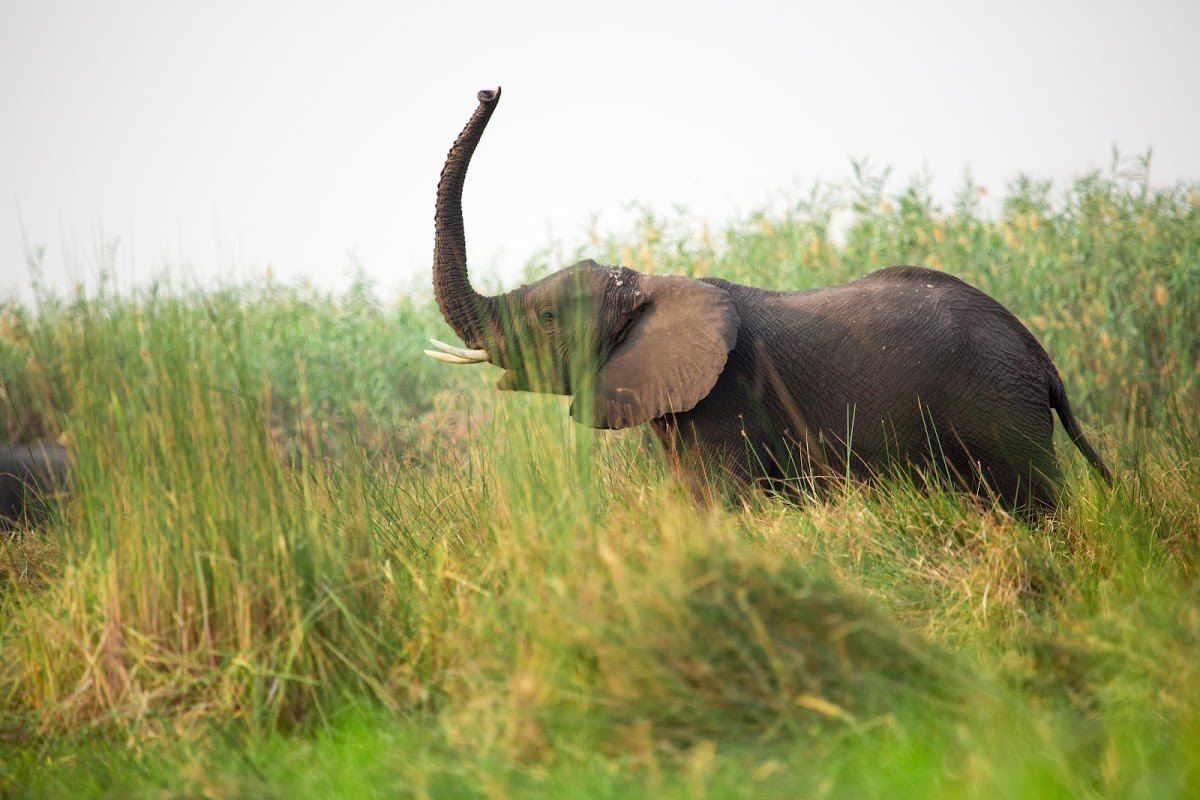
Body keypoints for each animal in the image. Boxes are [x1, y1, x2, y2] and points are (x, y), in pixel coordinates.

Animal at [424, 88, 1112, 515]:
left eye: (544, 319)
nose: (489, 90)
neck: (653, 284)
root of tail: (1042, 360)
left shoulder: (728, 400)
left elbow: (723, 504)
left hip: (999, 410)